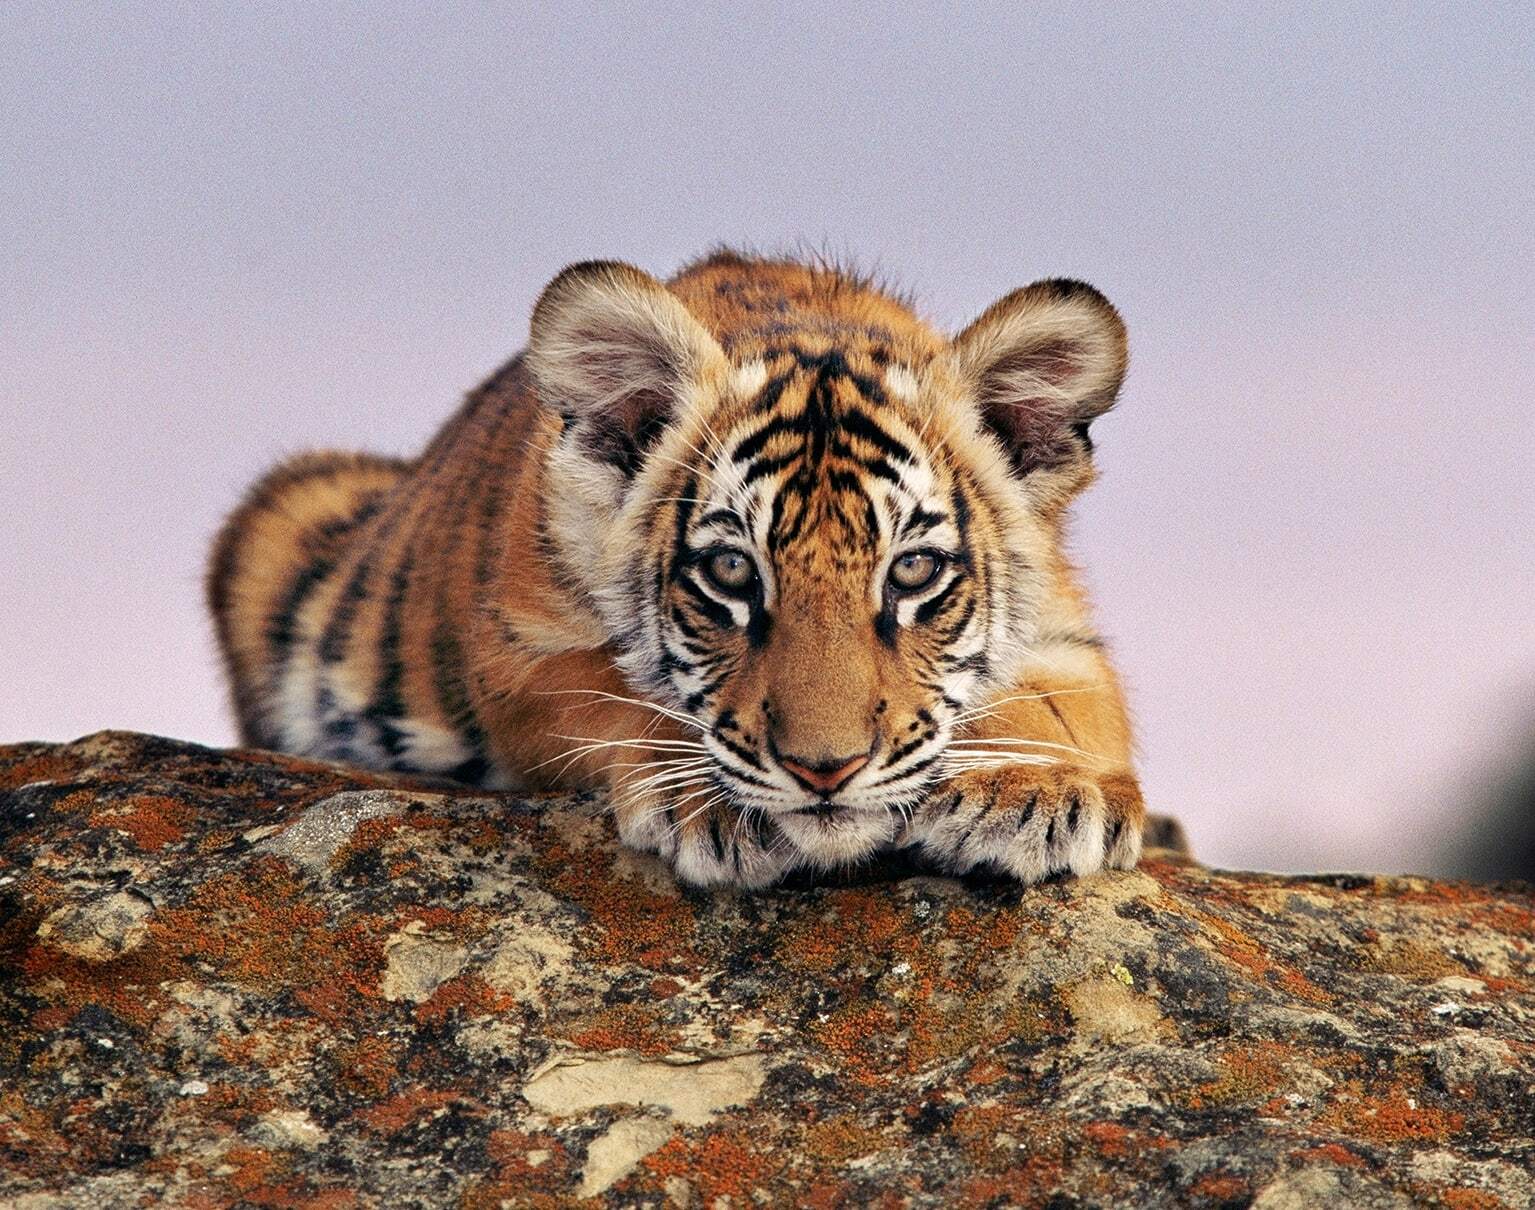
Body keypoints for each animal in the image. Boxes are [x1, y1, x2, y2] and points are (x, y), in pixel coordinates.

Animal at [208, 249, 1145, 888]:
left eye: (911, 573)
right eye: (730, 572)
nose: (825, 772)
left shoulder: (1066, 636)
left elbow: (1059, 707)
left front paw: (1030, 789)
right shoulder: (518, 650)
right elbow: (612, 691)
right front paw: (714, 801)